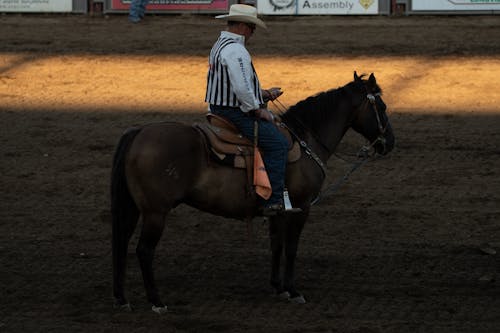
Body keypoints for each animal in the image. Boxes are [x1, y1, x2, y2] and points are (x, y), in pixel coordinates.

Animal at [112, 72, 394, 312]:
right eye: (382, 107)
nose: (389, 143)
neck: (306, 141)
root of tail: (138, 132)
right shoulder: (301, 207)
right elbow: (291, 247)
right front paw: (293, 290)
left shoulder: (279, 210)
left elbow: (276, 244)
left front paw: (278, 287)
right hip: (156, 212)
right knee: (144, 250)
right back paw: (157, 302)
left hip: (136, 209)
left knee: (122, 242)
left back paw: (122, 299)